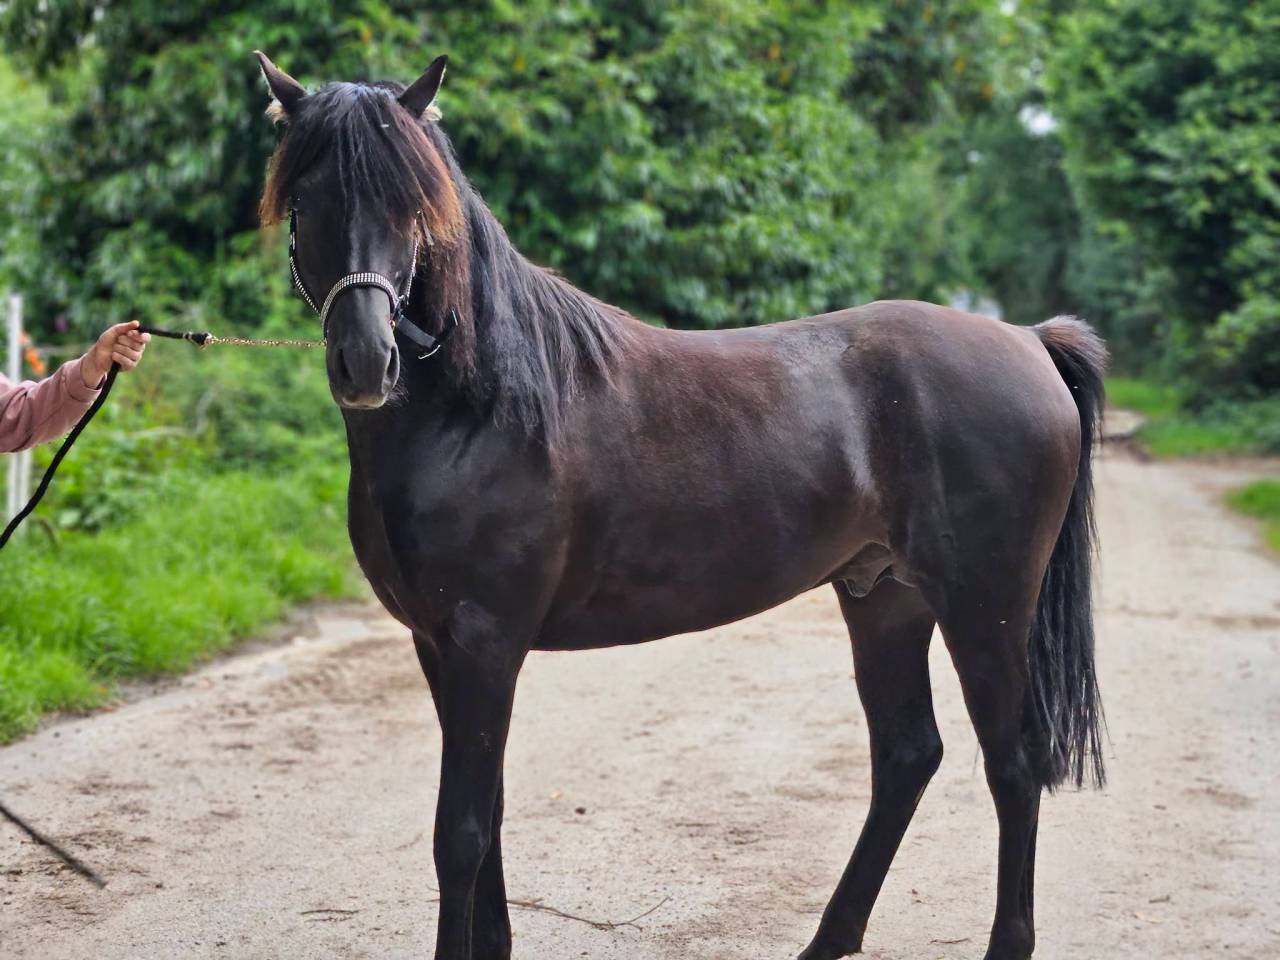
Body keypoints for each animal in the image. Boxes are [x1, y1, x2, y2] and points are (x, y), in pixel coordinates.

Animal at [254, 52, 1107, 960]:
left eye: (413, 205)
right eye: (306, 200)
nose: (365, 361)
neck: (482, 409)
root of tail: (1028, 341)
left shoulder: (485, 641)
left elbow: (461, 833)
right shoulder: (439, 645)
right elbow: (491, 816)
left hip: (985, 607)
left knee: (1014, 765)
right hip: (885, 598)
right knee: (909, 754)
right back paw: (828, 940)